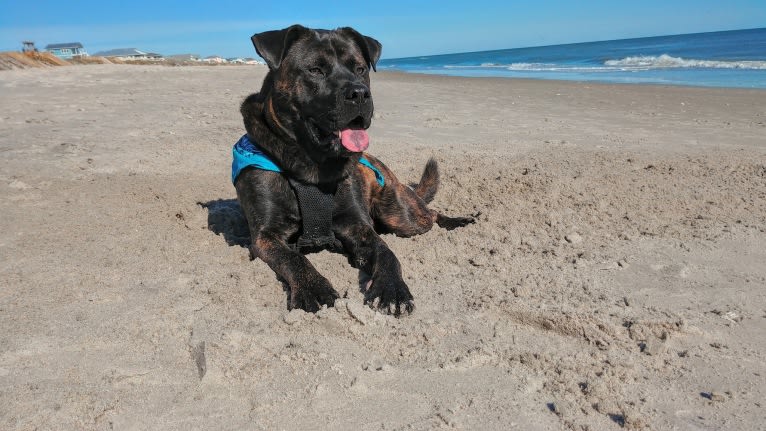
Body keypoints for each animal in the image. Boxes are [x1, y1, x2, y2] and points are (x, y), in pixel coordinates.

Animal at [234, 25, 474, 316]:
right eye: (315, 70)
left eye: (360, 69)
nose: (359, 94)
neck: (314, 166)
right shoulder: (265, 236)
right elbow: (293, 258)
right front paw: (313, 288)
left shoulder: (359, 225)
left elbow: (387, 253)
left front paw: (392, 288)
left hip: (401, 215)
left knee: (431, 213)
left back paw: (457, 221)